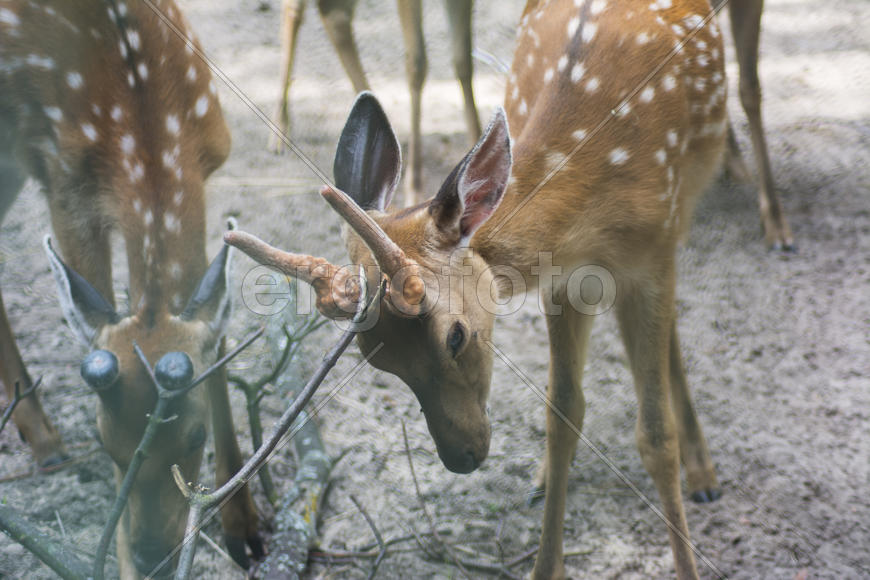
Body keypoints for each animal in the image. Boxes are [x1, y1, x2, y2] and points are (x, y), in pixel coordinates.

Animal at [0, 1, 261, 577]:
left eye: (196, 436)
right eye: (104, 441)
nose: (149, 556)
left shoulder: (206, 164)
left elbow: (217, 337)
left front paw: (246, 527)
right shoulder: (62, 179)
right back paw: (45, 439)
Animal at [271, 0, 482, 205]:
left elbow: (463, 59)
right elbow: (417, 65)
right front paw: (415, 190)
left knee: (335, 15)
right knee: (297, 8)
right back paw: (280, 130)